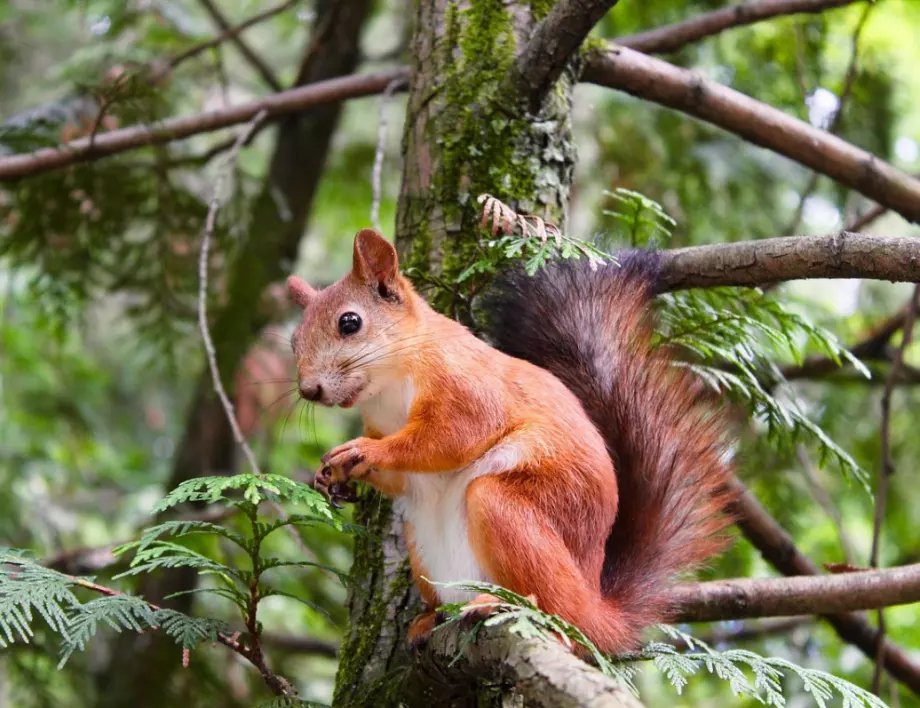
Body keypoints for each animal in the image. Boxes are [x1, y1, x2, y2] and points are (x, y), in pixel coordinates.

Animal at [288, 227, 732, 652]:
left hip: (510, 512)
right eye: (294, 341)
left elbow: (451, 437)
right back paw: (430, 618)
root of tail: (597, 610)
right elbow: (402, 478)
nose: (309, 390)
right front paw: (332, 478)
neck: (390, 385)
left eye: (350, 323)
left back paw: (504, 605)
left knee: (557, 611)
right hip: (423, 548)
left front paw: (365, 452)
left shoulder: (467, 386)